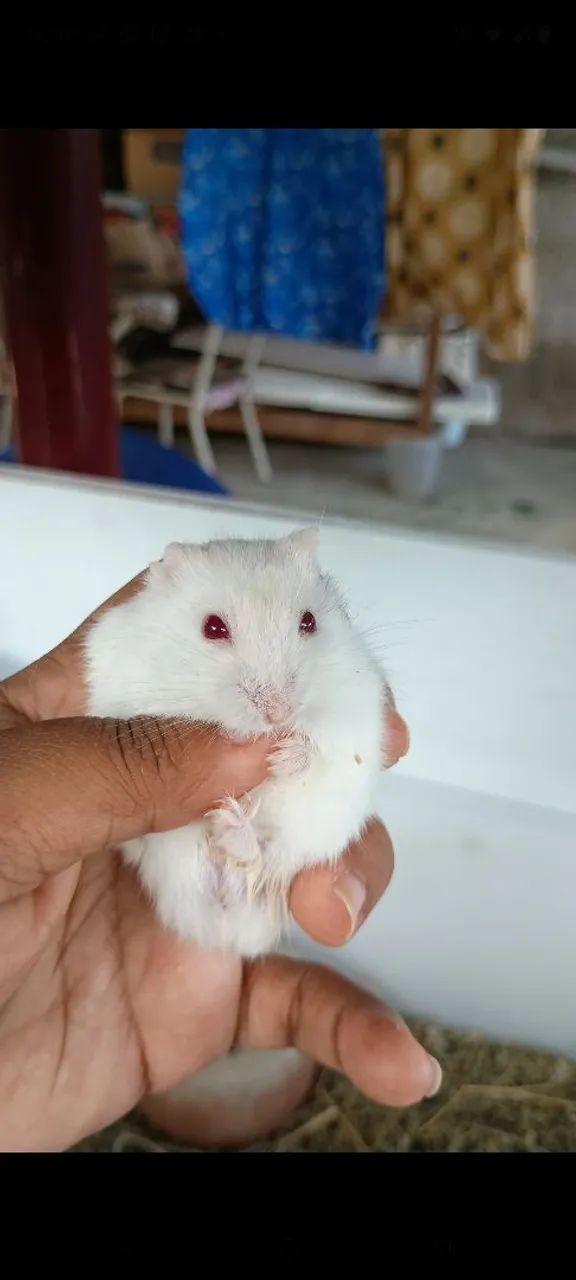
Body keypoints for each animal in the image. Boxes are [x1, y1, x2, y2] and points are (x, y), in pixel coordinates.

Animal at [84, 528, 387, 957]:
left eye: (309, 621)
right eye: (213, 627)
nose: (279, 714)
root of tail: (226, 935)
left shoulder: (355, 707)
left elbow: (324, 748)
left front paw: (282, 756)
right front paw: (237, 735)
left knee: (262, 857)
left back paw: (232, 825)